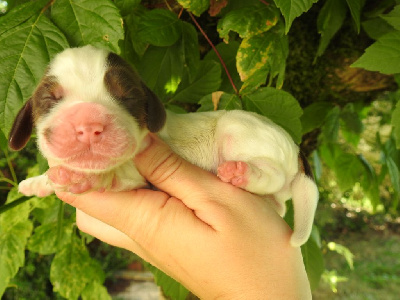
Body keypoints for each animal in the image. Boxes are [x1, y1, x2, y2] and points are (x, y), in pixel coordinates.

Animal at [8, 45, 318, 246]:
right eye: (51, 98)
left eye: (128, 97)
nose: (88, 125)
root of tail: (297, 150)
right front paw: (37, 183)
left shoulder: (140, 175)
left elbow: (119, 174)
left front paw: (87, 178)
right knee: (278, 203)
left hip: (240, 130)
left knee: (272, 173)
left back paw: (241, 172)